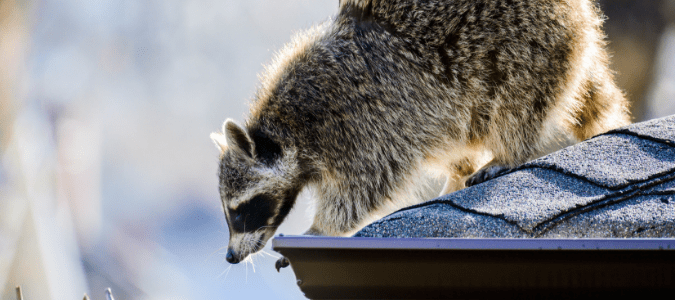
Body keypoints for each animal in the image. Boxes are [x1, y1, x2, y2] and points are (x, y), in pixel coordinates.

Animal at [210, 0, 628, 268]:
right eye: (230, 210)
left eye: (240, 209)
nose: (230, 256)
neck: (286, 129)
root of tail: (577, 12)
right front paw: (458, 171)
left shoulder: (363, 121)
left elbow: (364, 188)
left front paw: (320, 228)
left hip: (523, 43)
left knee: (515, 104)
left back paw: (508, 152)